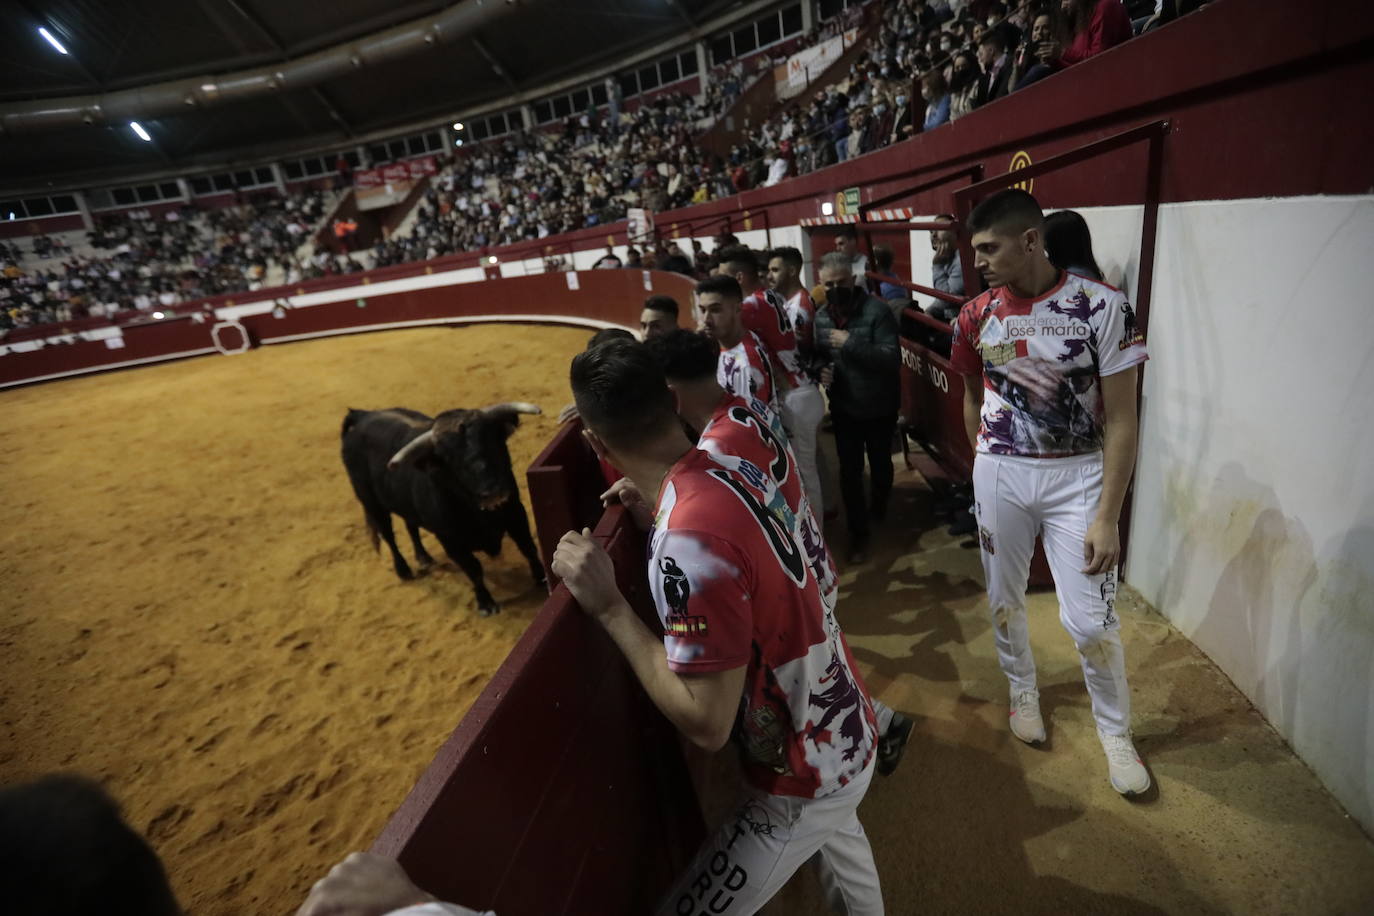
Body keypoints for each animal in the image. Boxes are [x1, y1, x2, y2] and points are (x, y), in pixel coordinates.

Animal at [340, 403, 549, 612]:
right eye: (449, 458)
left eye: (493, 441)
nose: (492, 491)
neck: (478, 512)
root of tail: (362, 416)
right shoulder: (450, 540)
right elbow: (473, 569)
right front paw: (486, 603)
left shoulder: (516, 514)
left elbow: (528, 547)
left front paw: (542, 578)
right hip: (371, 502)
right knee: (388, 535)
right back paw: (403, 570)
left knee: (411, 526)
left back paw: (424, 558)